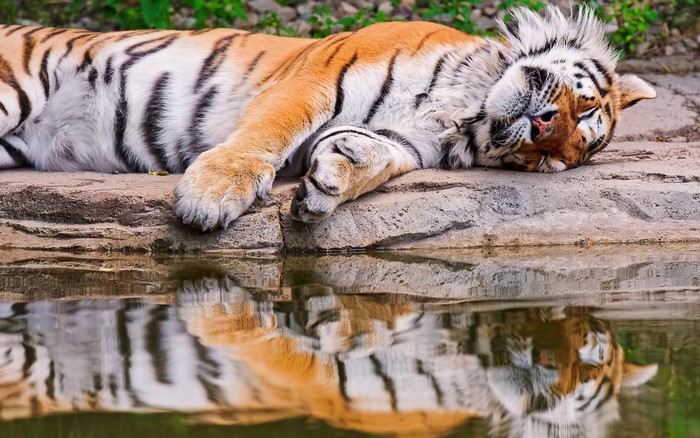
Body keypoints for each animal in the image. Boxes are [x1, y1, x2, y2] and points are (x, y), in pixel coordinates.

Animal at [0, 7, 655, 231]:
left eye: (552, 161)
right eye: (584, 107)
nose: (544, 132)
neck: (463, 110)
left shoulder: (404, 142)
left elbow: (373, 155)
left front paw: (329, 183)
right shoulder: (313, 79)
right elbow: (265, 134)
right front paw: (209, 198)